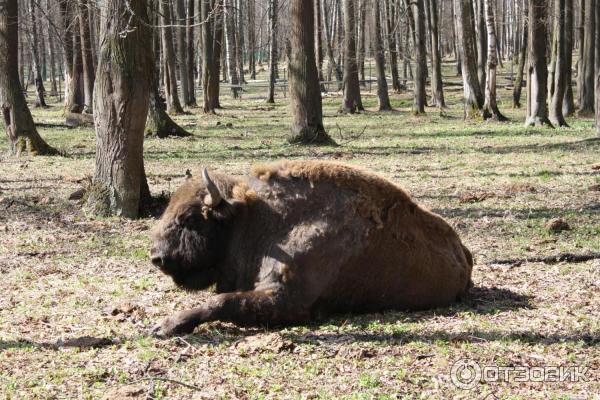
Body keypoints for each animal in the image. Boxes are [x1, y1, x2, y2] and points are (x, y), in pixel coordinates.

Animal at [150, 161, 474, 336]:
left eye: (190, 218)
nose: (157, 257)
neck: (257, 217)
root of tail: (463, 251)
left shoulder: (289, 300)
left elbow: (222, 302)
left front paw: (166, 326)